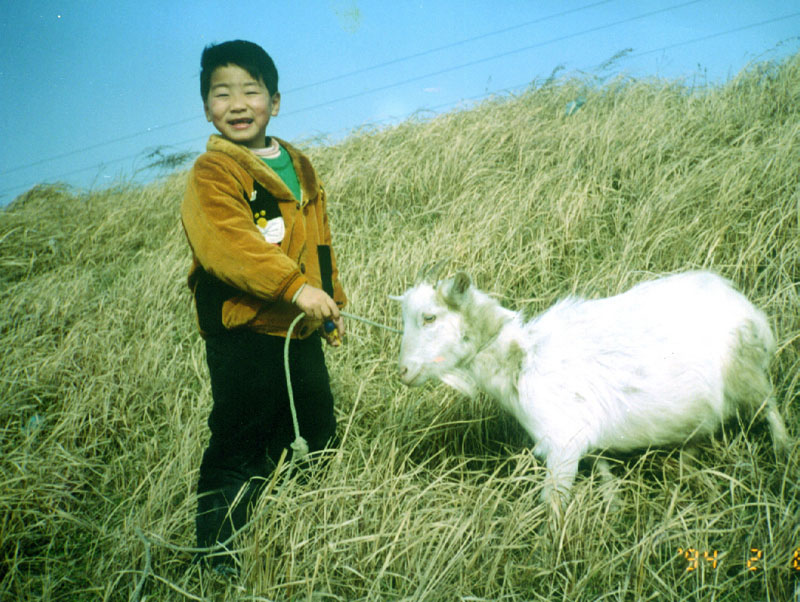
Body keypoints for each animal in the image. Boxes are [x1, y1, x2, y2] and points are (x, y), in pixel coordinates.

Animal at [392, 270, 788, 502]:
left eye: (430, 317)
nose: (404, 371)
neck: (522, 359)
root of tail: (746, 308)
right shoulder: (589, 441)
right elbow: (605, 478)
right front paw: (613, 510)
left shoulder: (563, 444)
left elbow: (553, 505)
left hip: (746, 376)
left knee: (771, 410)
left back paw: (783, 454)